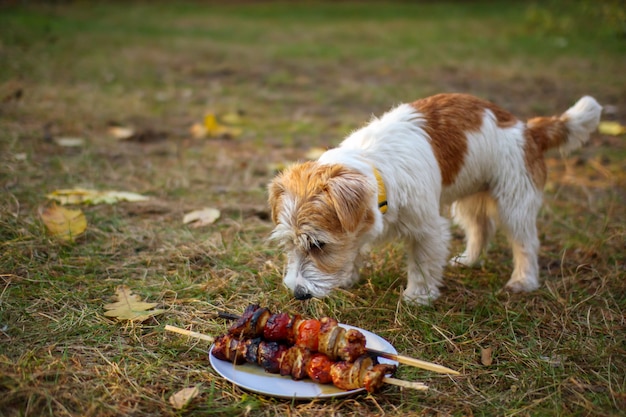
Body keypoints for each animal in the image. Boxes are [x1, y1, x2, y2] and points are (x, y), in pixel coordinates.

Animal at [266, 93, 600, 302]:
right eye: (288, 245)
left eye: (318, 245)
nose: (298, 294)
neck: (375, 167)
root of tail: (527, 128)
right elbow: (355, 248)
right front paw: (348, 276)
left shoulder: (427, 228)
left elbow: (422, 263)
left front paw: (419, 297)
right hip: (470, 199)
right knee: (481, 228)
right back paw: (469, 261)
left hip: (514, 201)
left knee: (525, 243)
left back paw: (523, 281)